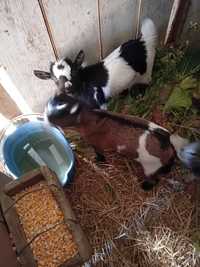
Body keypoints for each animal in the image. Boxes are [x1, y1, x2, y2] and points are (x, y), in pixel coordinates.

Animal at [44, 92, 188, 191]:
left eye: (60, 114)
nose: (46, 116)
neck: (93, 118)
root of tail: (167, 139)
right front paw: (73, 145)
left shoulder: (96, 143)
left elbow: (99, 154)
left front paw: (99, 161)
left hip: (150, 166)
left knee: (154, 178)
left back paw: (145, 186)